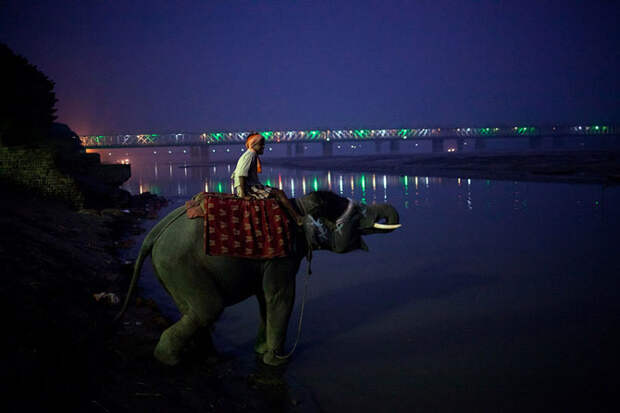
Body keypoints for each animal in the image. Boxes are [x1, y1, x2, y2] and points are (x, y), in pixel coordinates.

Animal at [116, 188, 402, 366]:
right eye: (356, 215)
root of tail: (154, 232)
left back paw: (209, 358)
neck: (299, 206)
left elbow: (265, 299)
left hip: (170, 270)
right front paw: (277, 361)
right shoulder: (282, 255)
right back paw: (169, 360)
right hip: (180, 264)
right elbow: (281, 296)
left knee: (194, 311)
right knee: (209, 310)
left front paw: (261, 352)